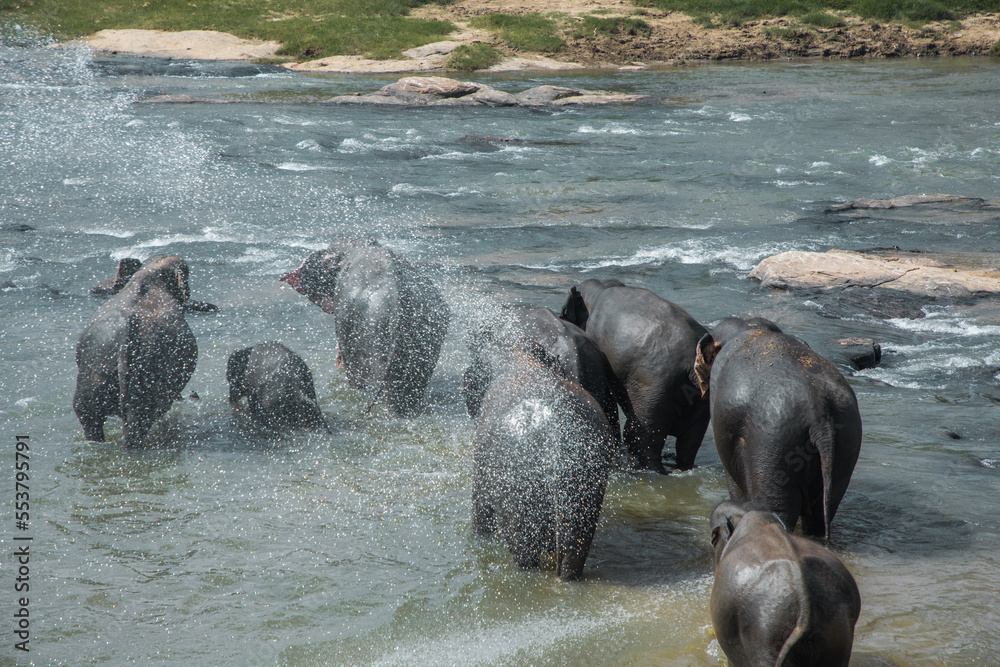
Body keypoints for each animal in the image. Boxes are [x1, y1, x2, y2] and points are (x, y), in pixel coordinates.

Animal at [560, 278, 710, 472]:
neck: (601, 288)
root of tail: (691, 367)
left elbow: (607, 394)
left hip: (653, 392)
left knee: (640, 439)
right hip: (700, 403)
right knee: (689, 445)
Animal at [694, 317, 862, 538]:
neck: (750, 327)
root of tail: (818, 407)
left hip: (773, 444)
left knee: (777, 510)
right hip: (846, 442)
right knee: (821, 514)